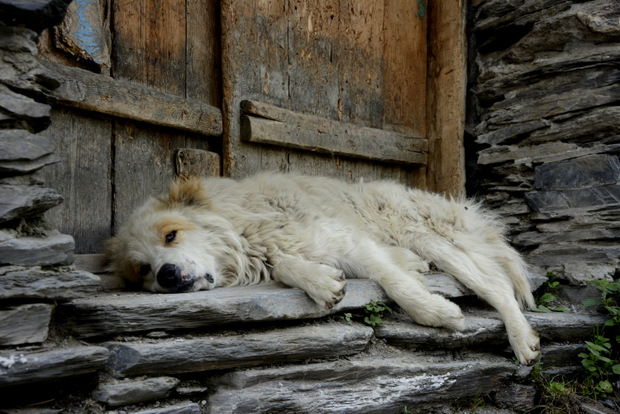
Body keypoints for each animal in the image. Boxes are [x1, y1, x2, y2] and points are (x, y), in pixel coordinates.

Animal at [105, 173, 536, 364]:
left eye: (171, 235)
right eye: (142, 270)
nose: (167, 276)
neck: (246, 228)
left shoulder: (351, 243)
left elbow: (395, 283)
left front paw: (435, 312)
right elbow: (286, 265)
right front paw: (320, 281)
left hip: (430, 236)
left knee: (498, 286)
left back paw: (523, 339)